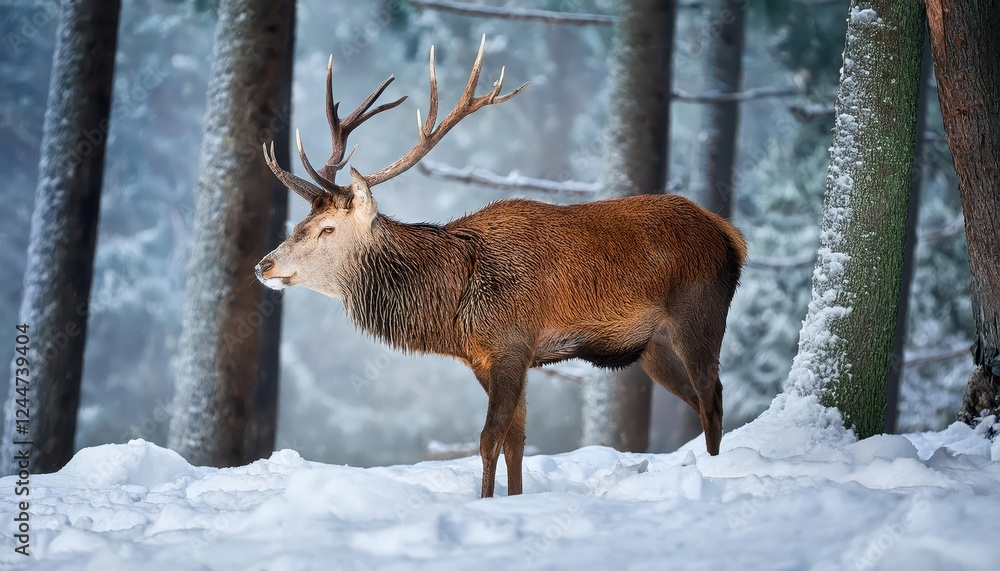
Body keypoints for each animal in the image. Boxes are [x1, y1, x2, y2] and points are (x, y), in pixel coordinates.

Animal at [255, 37, 747, 499]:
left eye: (328, 229)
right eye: (301, 222)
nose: (264, 264)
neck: (452, 308)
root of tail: (731, 236)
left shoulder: (511, 344)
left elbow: (489, 438)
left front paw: (486, 500)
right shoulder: (490, 357)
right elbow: (516, 440)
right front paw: (514, 498)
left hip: (699, 314)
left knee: (712, 398)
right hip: (652, 346)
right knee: (701, 399)